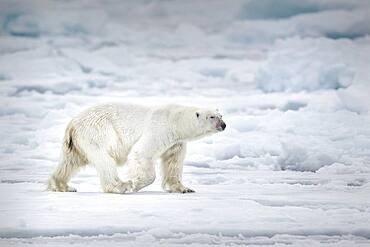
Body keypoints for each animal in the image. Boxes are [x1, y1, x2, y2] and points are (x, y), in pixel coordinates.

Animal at [46, 103, 225, 194]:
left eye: (221, 115)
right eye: (211, 117)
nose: (223, 125)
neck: (175, 121)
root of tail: (72, 123)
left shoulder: (176, 142)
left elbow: (173, 163)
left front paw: (184, 188)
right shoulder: (159, 129)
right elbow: (141, 153)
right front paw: (134, 183)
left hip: (76, 142)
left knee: (69, 162)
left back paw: (62, 186)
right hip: (98, 132)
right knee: (104, 159)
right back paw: (120, 186)